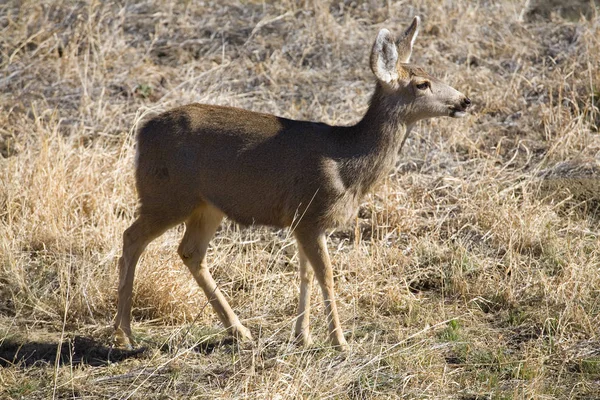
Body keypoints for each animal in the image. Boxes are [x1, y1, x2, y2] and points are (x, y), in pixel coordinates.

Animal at [111, 17, 468, 352]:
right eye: (422, 83)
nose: (464, 100)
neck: (347, 163)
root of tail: (142, 133)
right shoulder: (311, 214)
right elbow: (327, 275)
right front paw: (340, 341)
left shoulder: (299, 221)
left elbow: (305, 272)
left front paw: (303, 336)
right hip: (166, 195)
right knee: (132, 238)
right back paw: (123, 334)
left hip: (206, 205)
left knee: (190, 252)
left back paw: (239, 331)